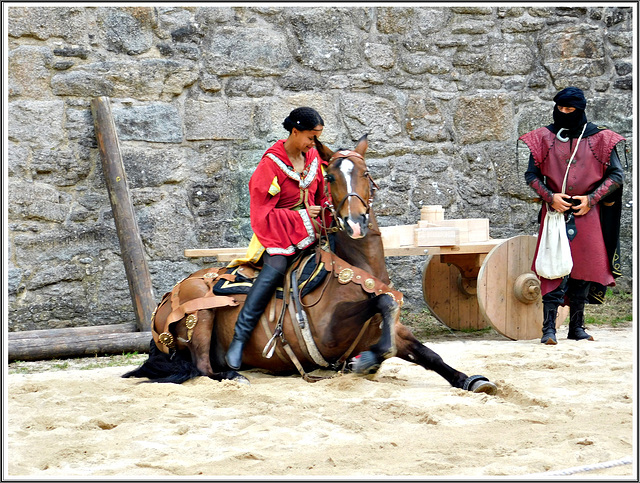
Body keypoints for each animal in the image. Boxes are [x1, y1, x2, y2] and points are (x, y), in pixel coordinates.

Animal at [122, 134, 498, 396]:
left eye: (366, 173)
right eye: (330, 178)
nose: (355, 223)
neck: (358, 271)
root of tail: (166, 299)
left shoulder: (393, 331)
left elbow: (427, 354)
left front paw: (470, 380)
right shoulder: (329, 333)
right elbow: (383, 305)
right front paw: (365, 361)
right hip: (199, 312)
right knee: (202, 368)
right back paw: (232, 372)